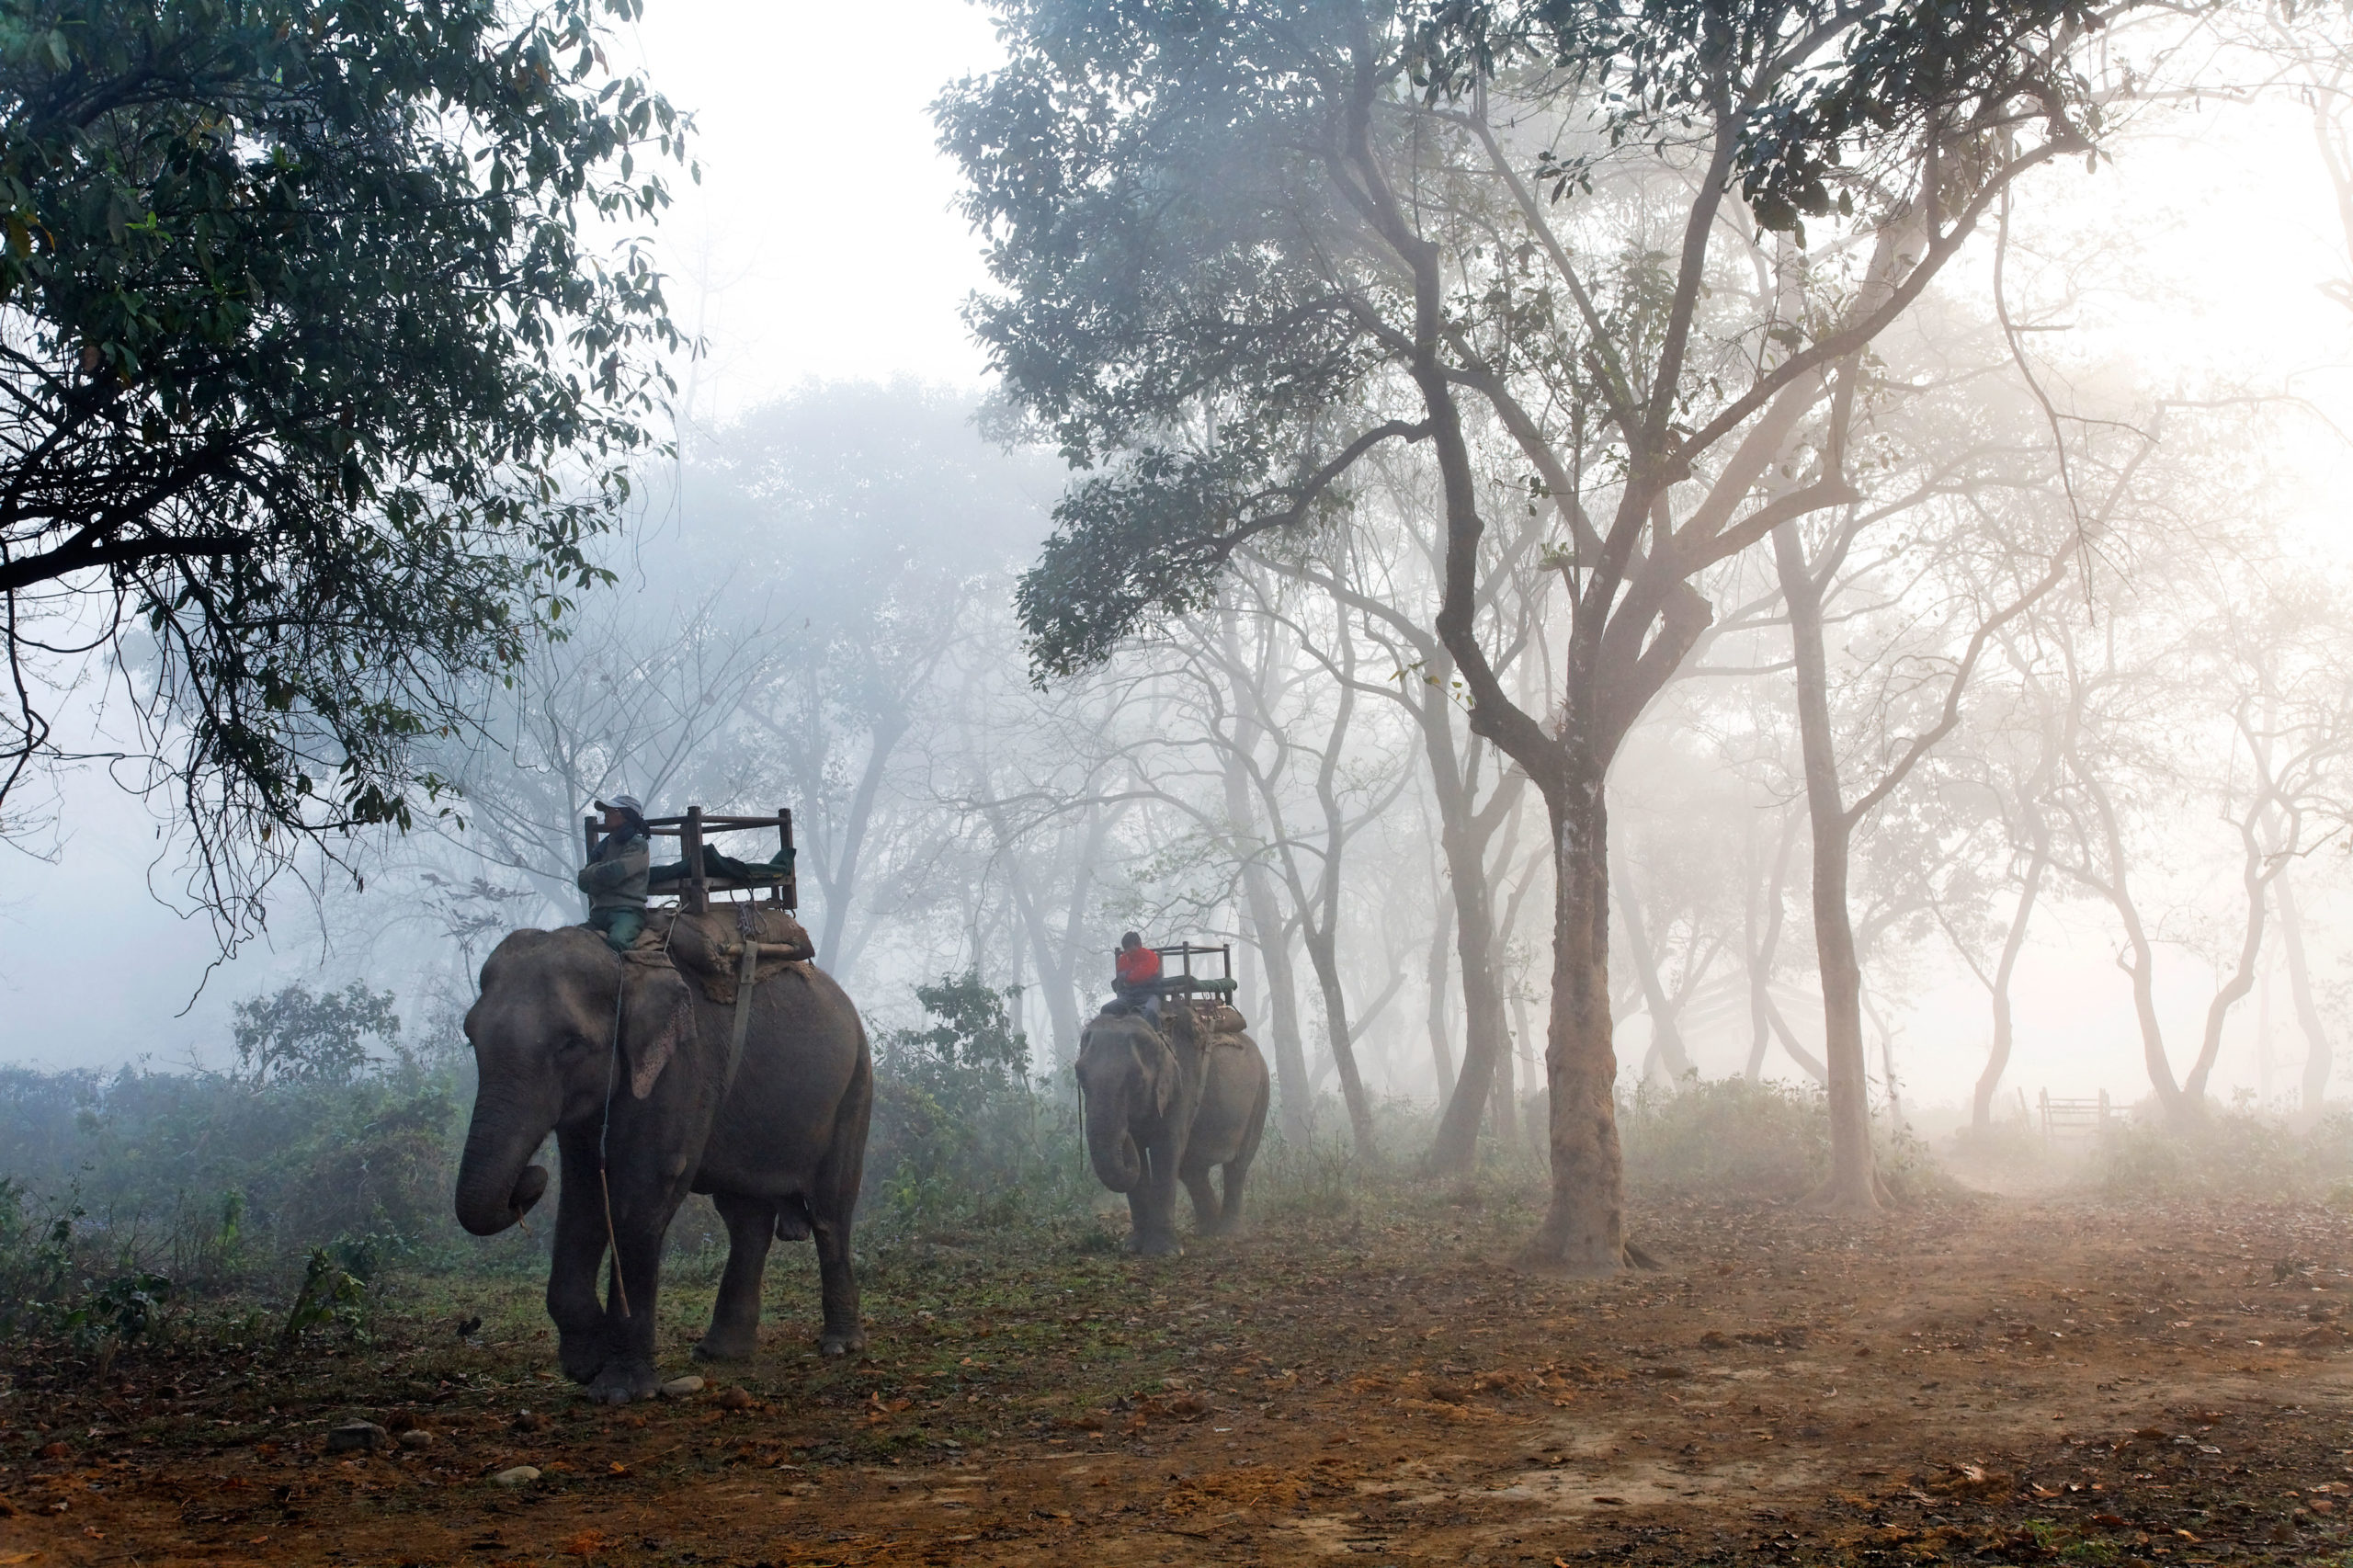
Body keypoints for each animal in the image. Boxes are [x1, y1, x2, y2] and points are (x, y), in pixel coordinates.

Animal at [451, 923, 875, 1393]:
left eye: (570, 1044)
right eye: (470, 1035)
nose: (530, 1176)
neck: (623, 960)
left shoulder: (683, 1067)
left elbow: (644, 1192)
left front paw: (619, 1390)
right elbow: (583, 1196)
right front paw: (586, 1364)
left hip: (855, 1086)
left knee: (830, 1209)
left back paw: (840, 1345)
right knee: (746, 1219)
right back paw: (720, 1353)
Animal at [1077, 993, 1270, 1252]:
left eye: (1136, 1079)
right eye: (1080, 1075)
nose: (1126, 1132)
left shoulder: (1182, 1080)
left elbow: (1166, 1147)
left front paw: (1163, 1251)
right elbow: (1143, 1156)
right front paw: (1132, 1247)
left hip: (1259, 1094)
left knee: (1237, 1164)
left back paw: (1229, 1232)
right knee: (1191, 1168)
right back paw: (1208, 1229)